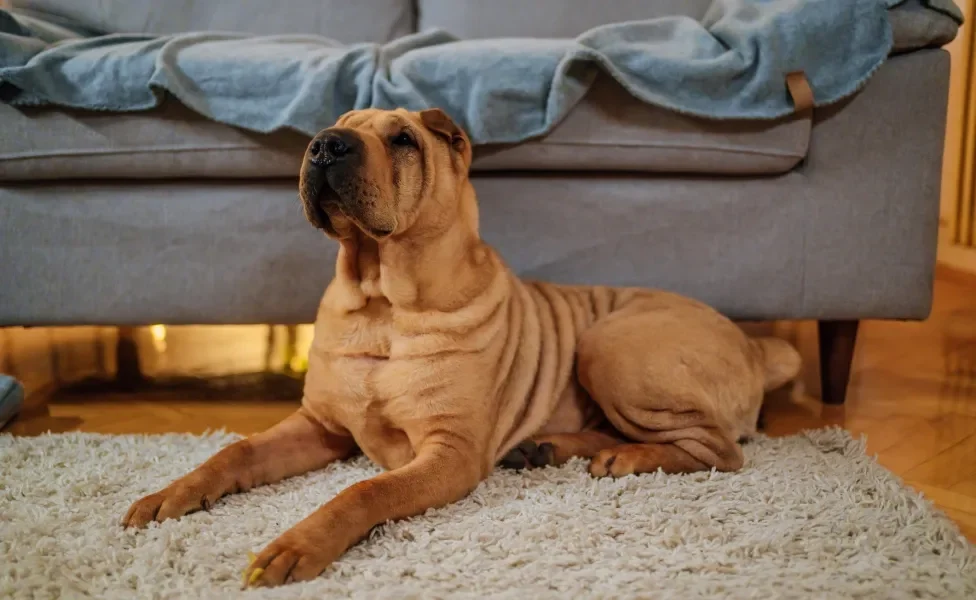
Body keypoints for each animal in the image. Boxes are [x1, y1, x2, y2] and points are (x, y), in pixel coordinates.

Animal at [122, 108, 800, 584]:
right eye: (339, 126)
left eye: (402, 140)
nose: (324, 144)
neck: (381, 303)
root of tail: (753, 346)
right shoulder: (319, 426)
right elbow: (231, 453)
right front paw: (166, 496)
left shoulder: (448, 453)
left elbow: (363, 491)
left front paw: (295, 546)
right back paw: (553, 448)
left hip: (608, 344)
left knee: (719, 450)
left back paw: (625, 460)